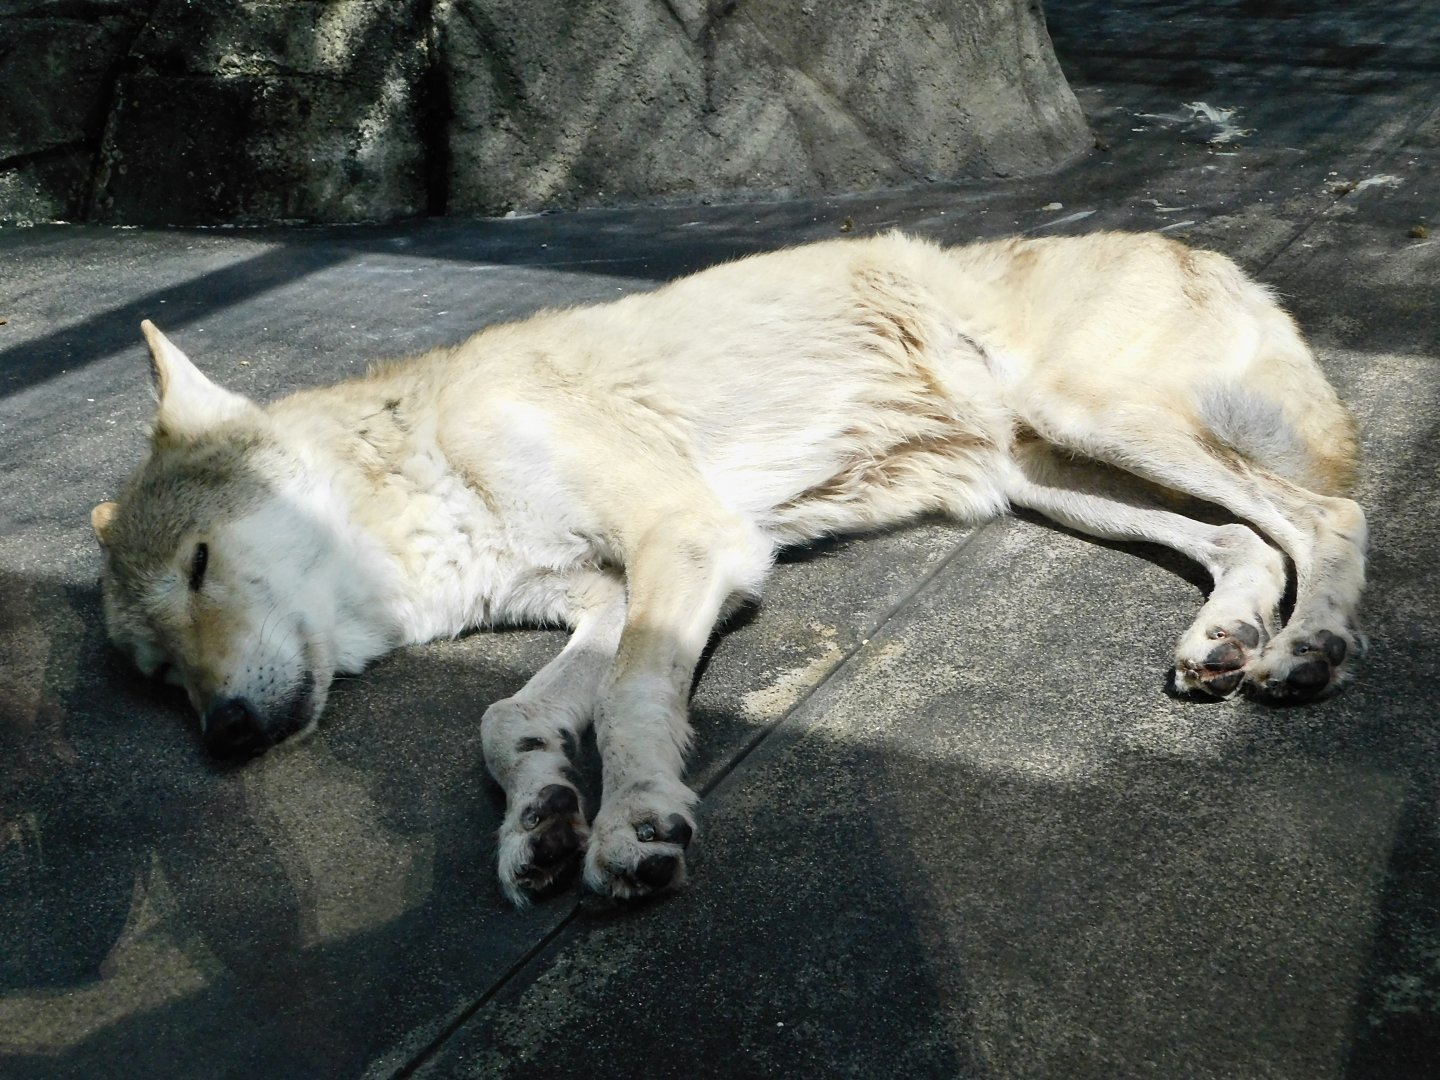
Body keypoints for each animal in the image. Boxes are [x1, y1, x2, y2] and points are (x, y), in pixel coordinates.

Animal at [91, 231, 1367, 905]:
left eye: (200, 564)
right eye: (157, 674)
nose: (226, 735)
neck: (433, 476)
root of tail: (1201, 245)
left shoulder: (685, 545)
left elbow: (629, 706)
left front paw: (633, 822)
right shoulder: (605, 601)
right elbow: (509, 720)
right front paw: (541, 820)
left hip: (1094, 424)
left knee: (1328, 515)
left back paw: (1309, 648)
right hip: (1057, 482)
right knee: (1247, 543)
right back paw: (1224, 641)